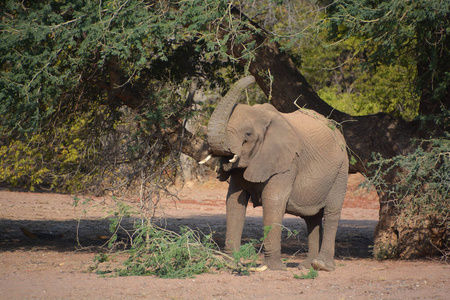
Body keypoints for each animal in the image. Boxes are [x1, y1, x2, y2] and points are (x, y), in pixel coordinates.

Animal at [203, 75, 348, 272]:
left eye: (248, 134)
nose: (253, 76)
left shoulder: (288, 162)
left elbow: (273, 200)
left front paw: (273, 268)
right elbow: (233, 201)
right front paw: (228, 264)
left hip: (341, 170)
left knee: (332, 211)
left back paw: (322, 266)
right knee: (312, 217)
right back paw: (306, 266)